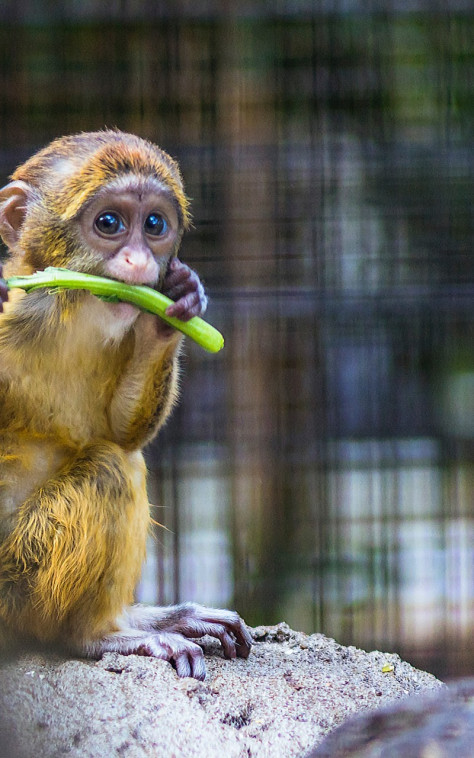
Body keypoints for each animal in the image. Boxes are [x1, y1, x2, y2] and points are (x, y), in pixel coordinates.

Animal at [0, 131, 252, 684]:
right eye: (110, 224)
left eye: (154, 225)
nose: (139, 263)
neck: (66, 312)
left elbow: (121, 432)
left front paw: (175, 306)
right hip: (14, 580)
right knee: (109, 470)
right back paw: (91, 636)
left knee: (121, 458)